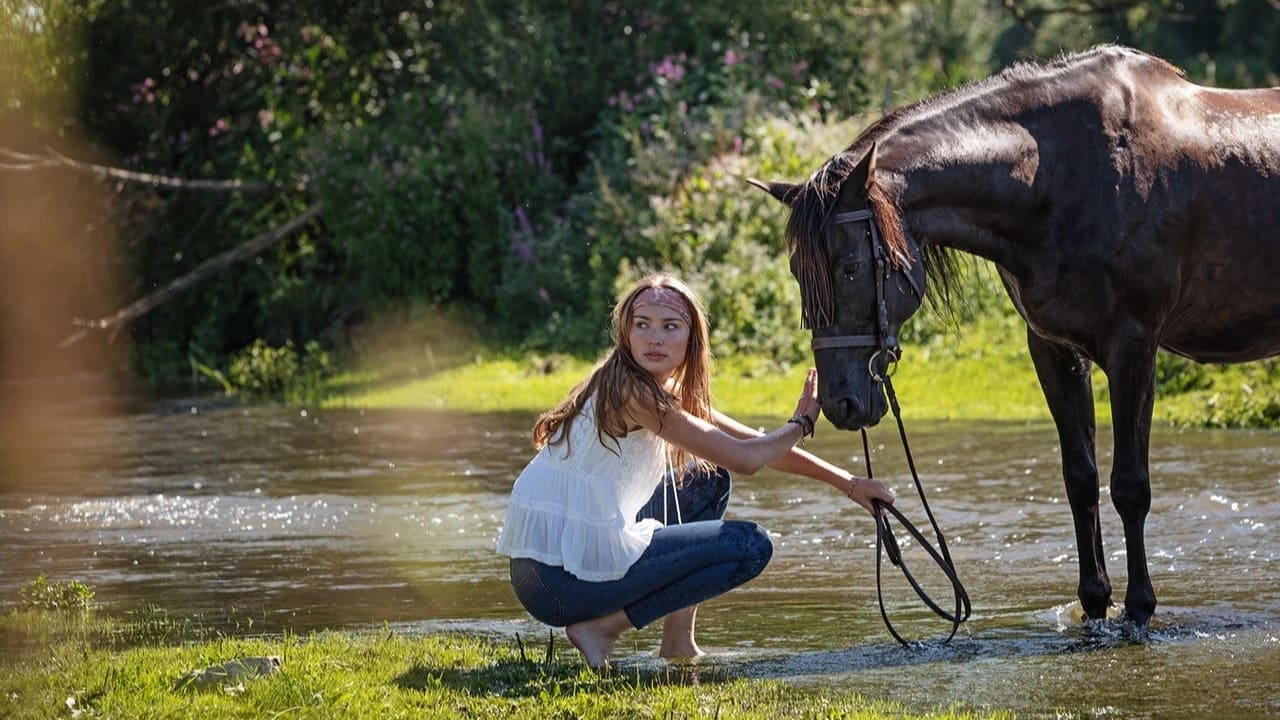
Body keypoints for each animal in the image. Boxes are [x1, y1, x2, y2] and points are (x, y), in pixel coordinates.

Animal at [747, 44, 1280, 627]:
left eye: (847, 268)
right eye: (798, 273)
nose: (840, 404)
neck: (1061, 179)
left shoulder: (1133, 347)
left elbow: (1129, 485)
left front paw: (1139, 608)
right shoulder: (1053, 350)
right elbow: (1080, 479)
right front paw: (1095, 602)